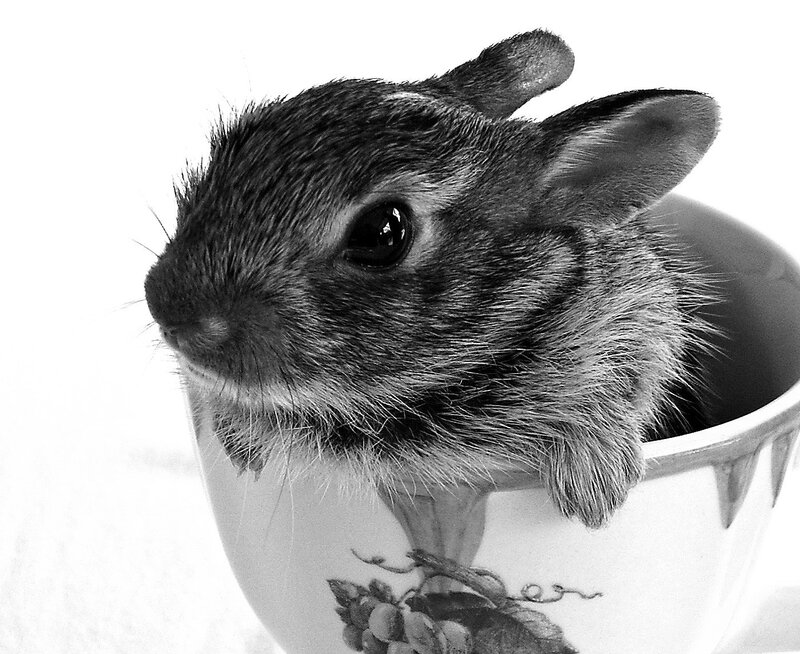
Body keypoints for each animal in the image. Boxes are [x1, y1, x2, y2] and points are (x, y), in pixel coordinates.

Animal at [144, 30, 719, 528]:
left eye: (382, 232)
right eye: (231, 145)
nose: (169, 309)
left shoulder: (639, 315)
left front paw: (595, 482)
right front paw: (238, 441)